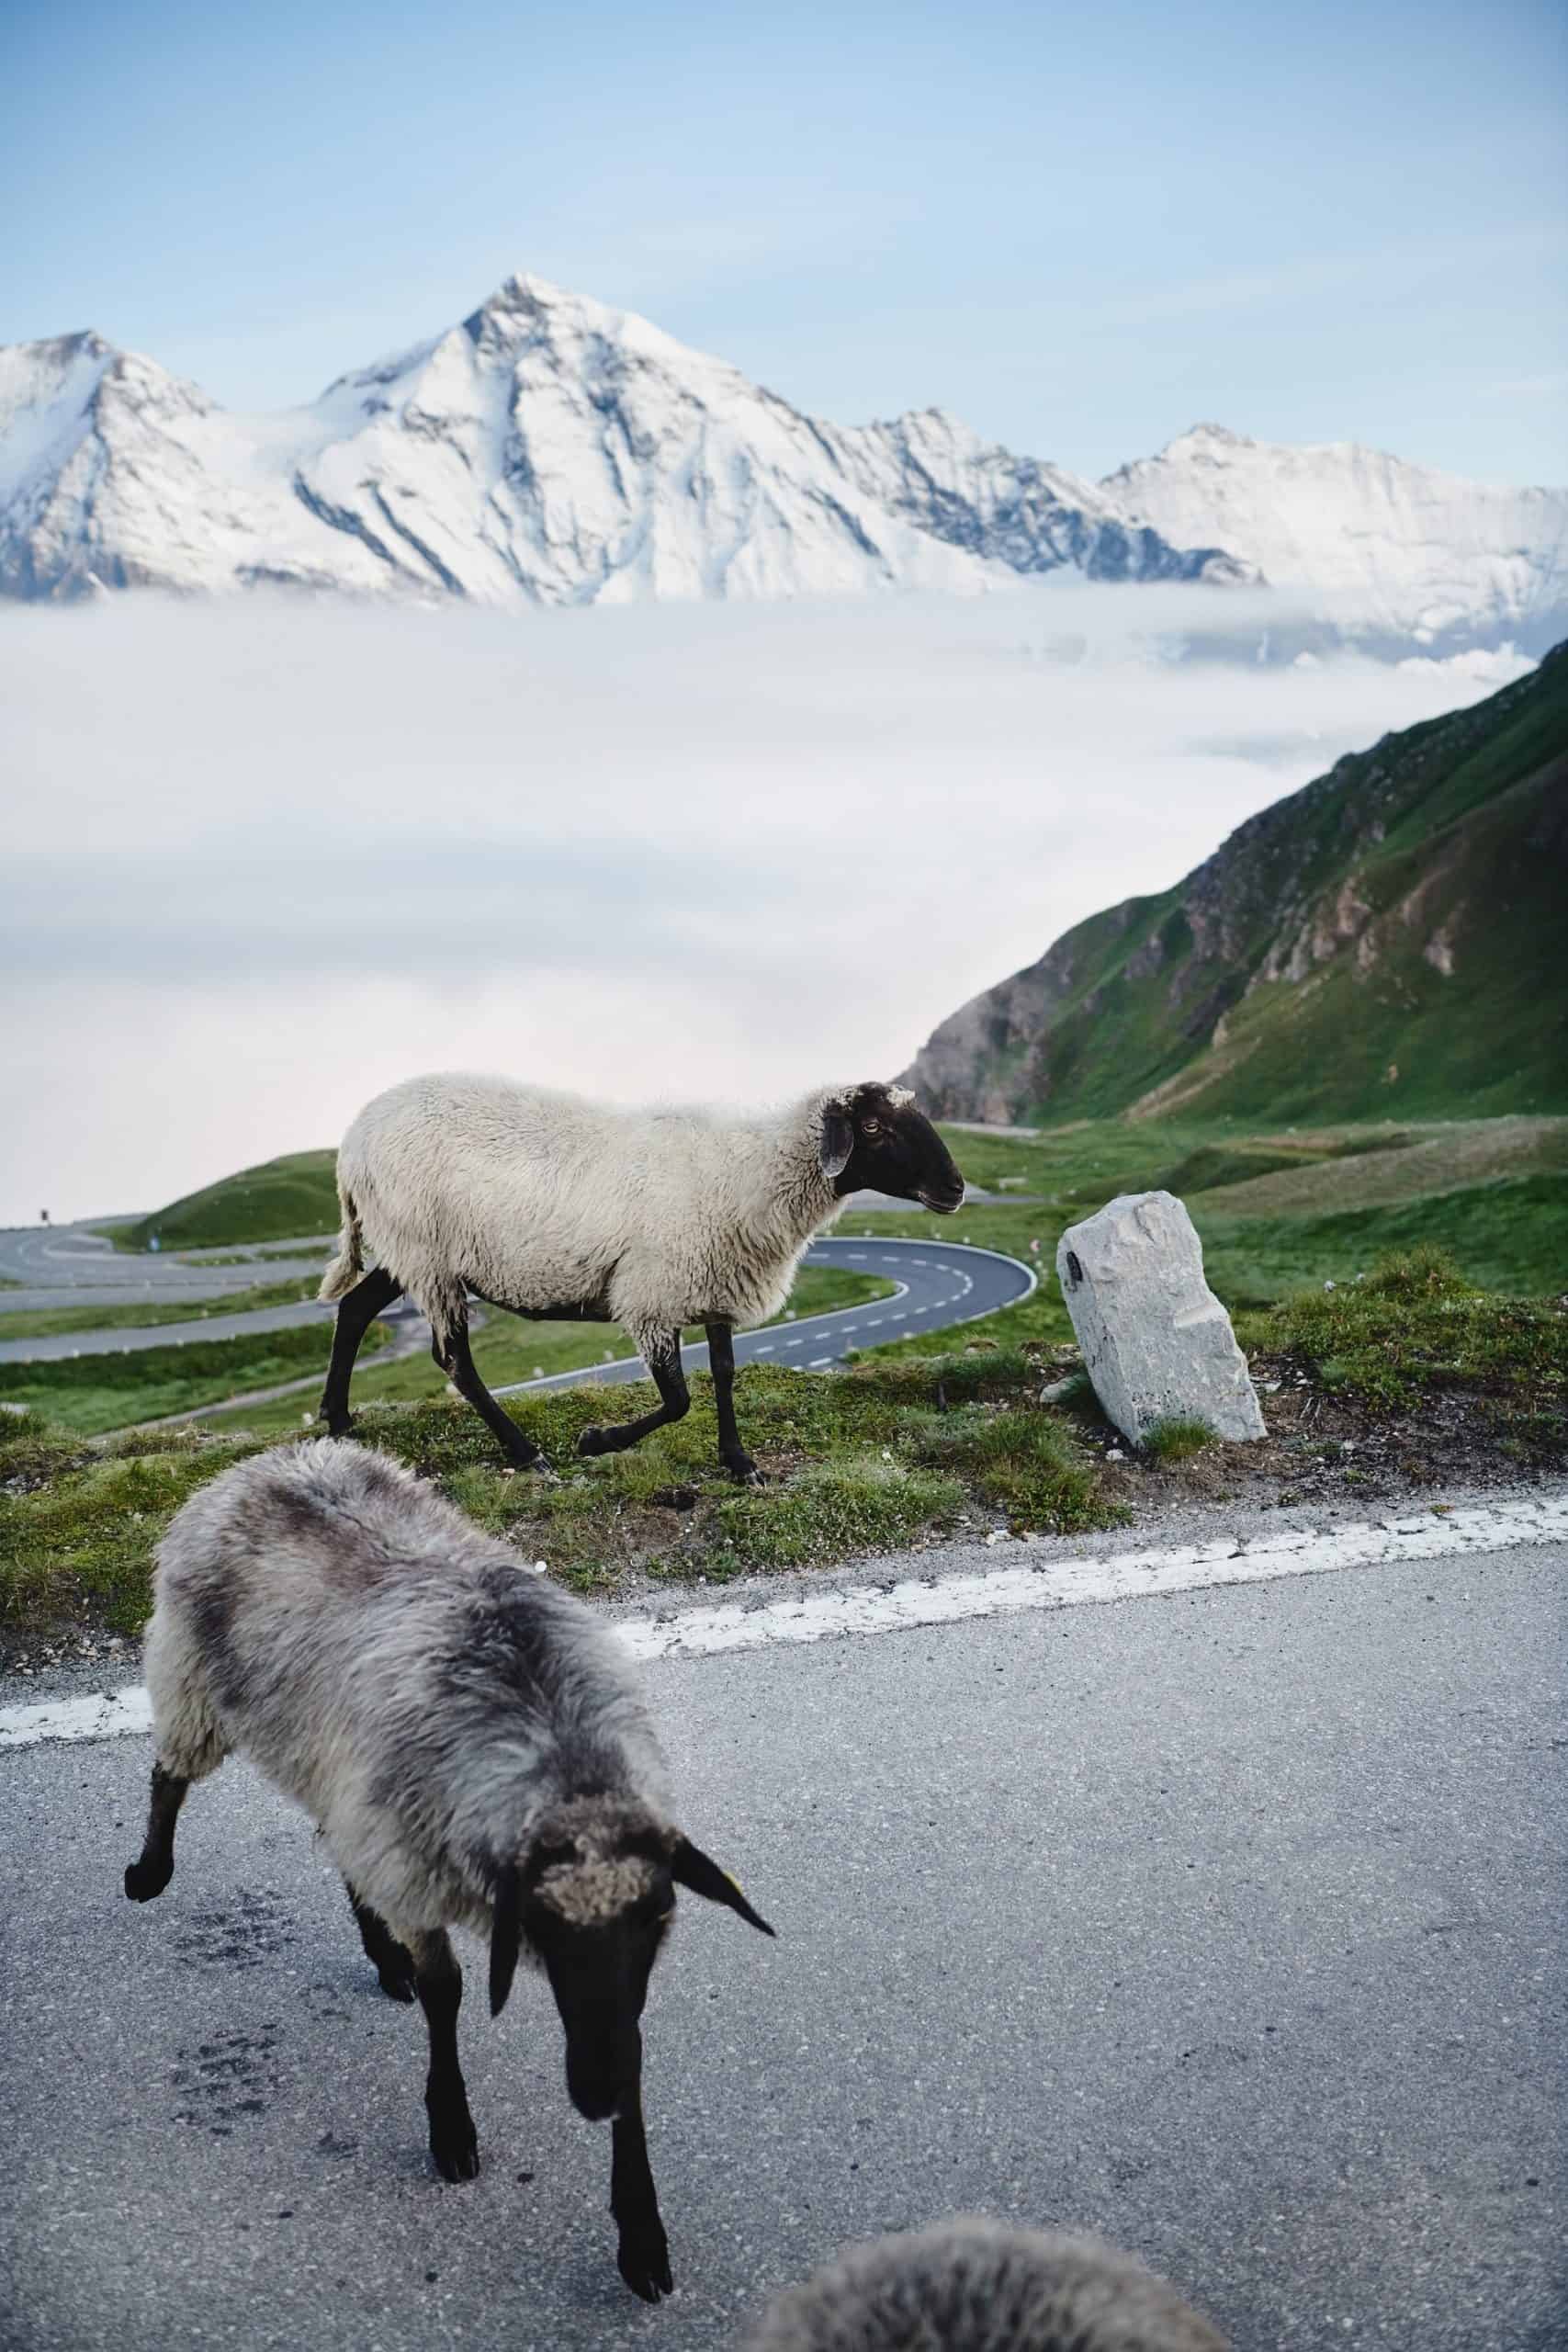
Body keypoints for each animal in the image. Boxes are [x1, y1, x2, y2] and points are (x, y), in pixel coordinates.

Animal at [125, 1430, 775, 2295]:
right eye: (540, 1923)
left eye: (659, 1917)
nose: (595, 2095)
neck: (556, 1754)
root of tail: (270, 1458)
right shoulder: (415, 1868)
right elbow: (447, 1994)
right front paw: (451, 2130)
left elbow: (629, 2040)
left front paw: (641, 2237)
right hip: (193, 1683)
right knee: (169, 1776)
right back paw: (148, 1874)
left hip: (335, 1772)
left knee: (338, 1850)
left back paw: (379, 1957)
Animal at [312, 1077, 964, 1476]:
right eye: (873, 1128)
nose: (956, 1189)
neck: (753, 1171)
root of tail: (353, 1140)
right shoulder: (653, 1295)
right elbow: (677, 1400)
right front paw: (597, 1441)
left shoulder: (715, 1280)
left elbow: (724, 1374)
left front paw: (739, 1463)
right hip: (426, 1252)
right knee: (453, 1359)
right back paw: (526, 1454)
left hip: (413, 1255)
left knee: (356, 1307)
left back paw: (339, 1419)